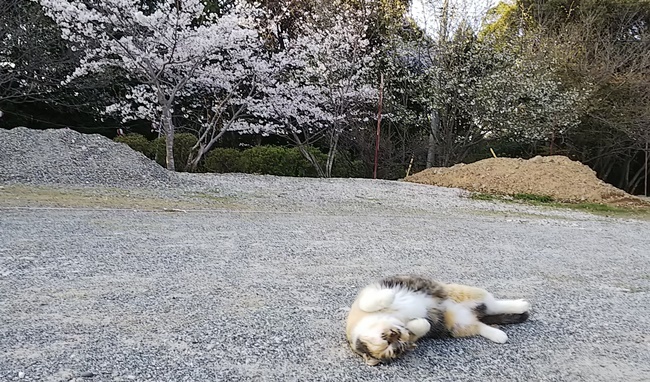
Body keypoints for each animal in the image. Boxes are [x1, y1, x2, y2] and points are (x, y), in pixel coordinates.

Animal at [342, 274, 528, 364]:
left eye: (385, 336)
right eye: (393, 346)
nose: (396, 333)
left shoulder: (366, 295)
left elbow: (369, 302)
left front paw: (389, 296)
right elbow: (423, 326)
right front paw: (418, 323)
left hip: (465, 292)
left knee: (495, 303)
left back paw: (522, 304)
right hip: (458, 324)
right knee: (480, 325)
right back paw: (499, 335)